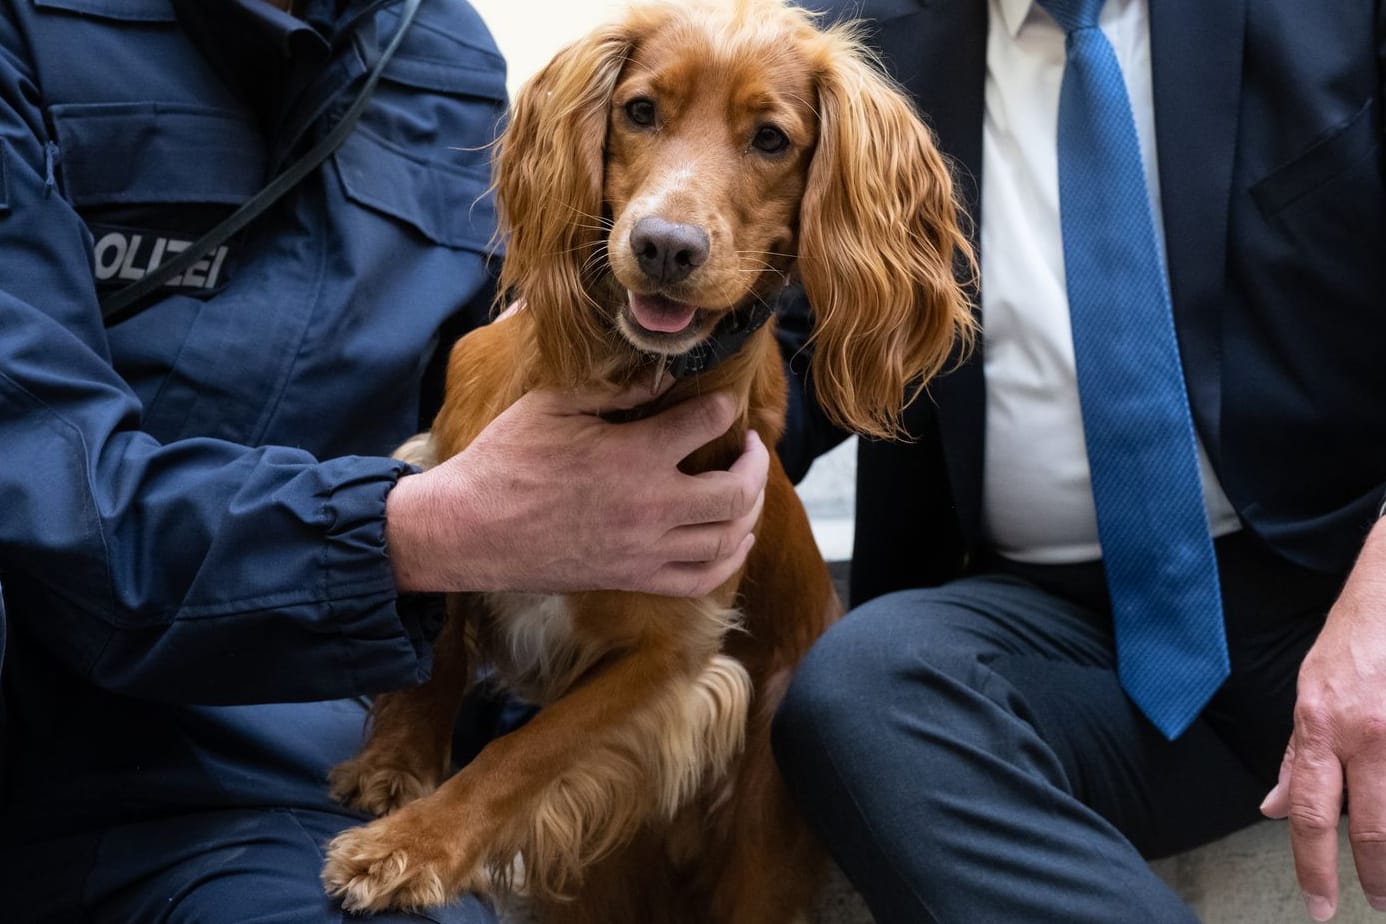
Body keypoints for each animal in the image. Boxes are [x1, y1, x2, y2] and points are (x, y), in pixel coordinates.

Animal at [324, 3, 975, 919]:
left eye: (770, 139)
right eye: (639, 112)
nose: (666, 246)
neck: (624, 381)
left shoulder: (671, 654)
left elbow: (527, 752)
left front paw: (414, 844)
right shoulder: (443, 469)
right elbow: (440, 637)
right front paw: (395, 768)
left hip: (758, 842)